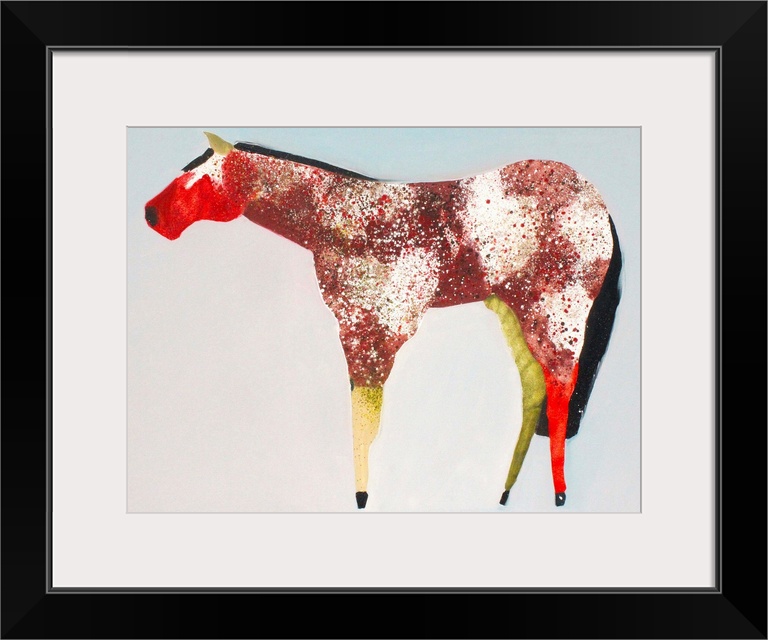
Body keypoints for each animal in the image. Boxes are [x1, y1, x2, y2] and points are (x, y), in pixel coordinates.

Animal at [144, 132, 622, 509]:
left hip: (558, 310)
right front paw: (362, 495)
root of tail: (598, 202)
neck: (337, 217)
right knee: (534, 393)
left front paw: (361, 497)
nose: (150, 215)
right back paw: (505, 494)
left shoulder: (373, 327)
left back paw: (558, 494)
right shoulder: (361, 329)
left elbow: (363, 419)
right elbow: (362, 416)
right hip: (515, 310)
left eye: (198, 178)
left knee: (560, 392)